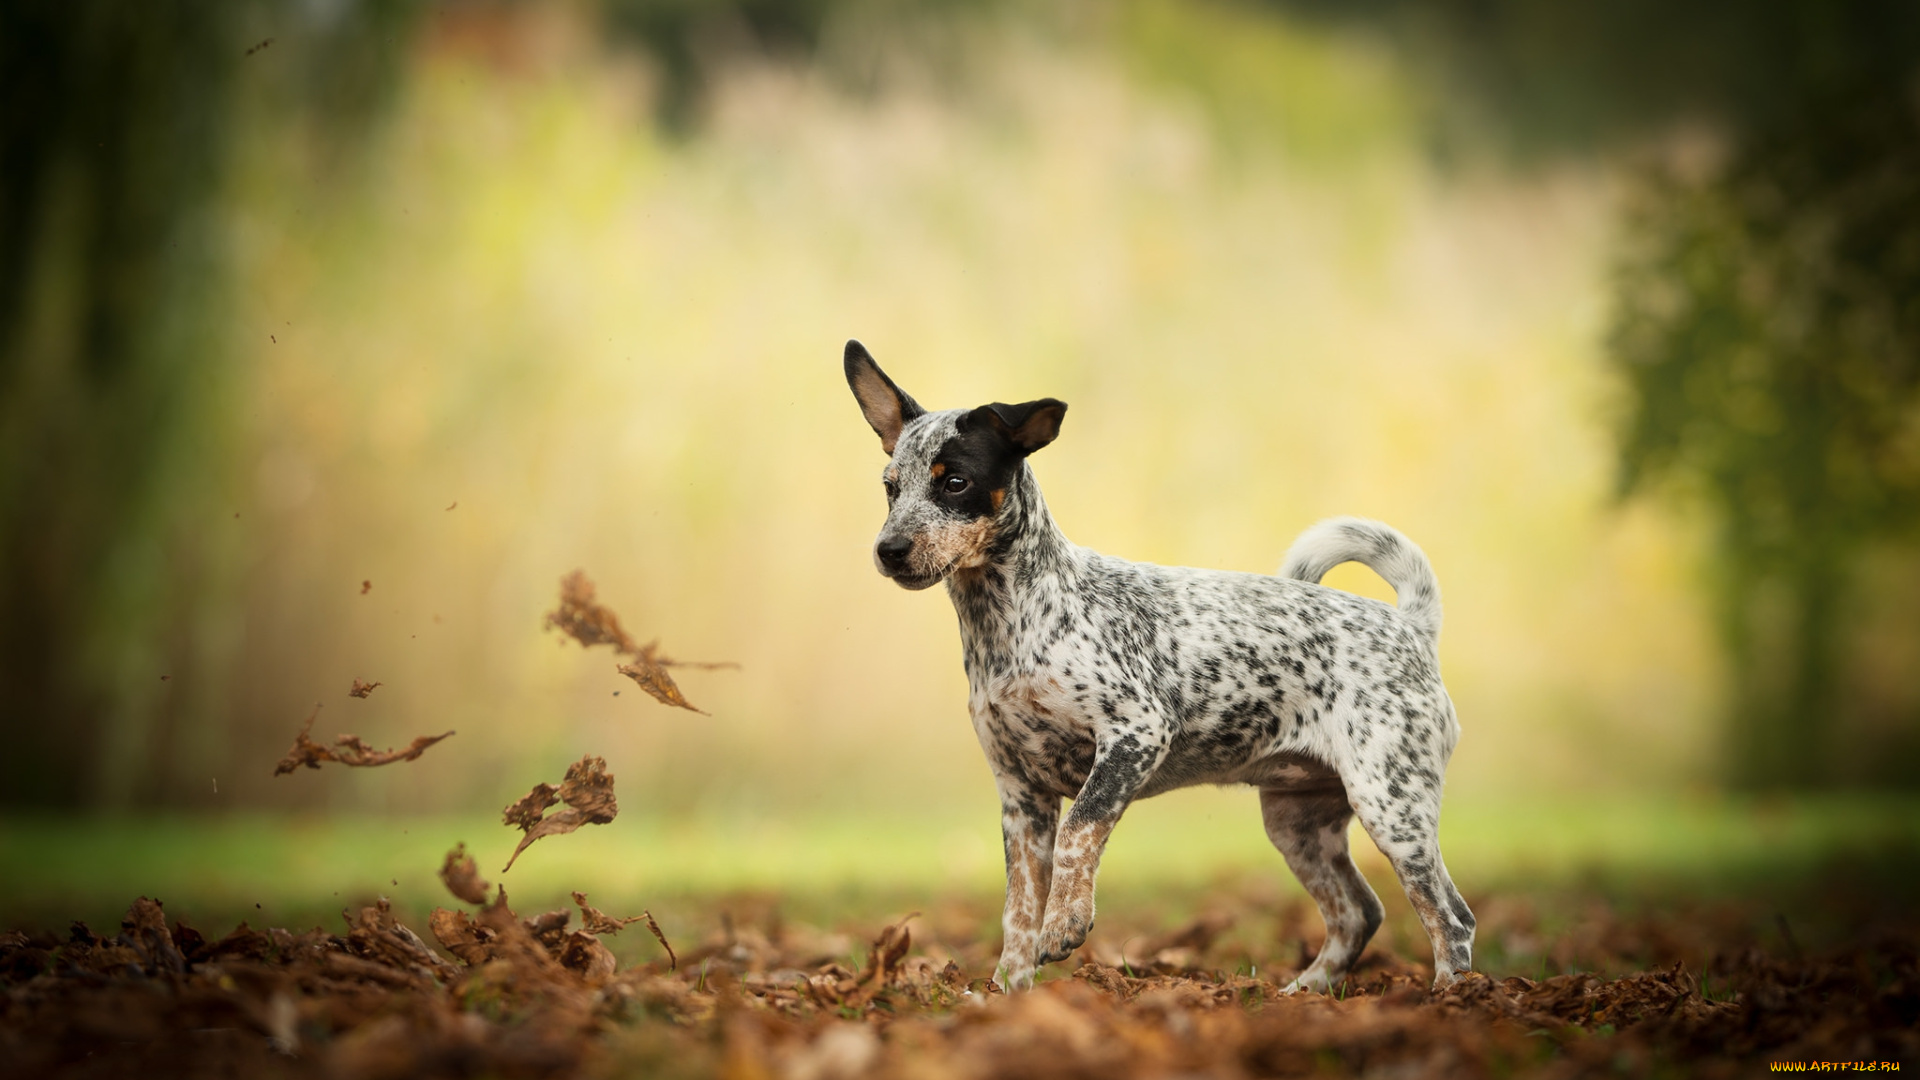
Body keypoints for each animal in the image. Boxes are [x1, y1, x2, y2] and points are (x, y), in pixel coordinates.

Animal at [840, 340, 1466, 991]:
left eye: (956, 483)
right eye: (890, 488)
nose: (888, 550)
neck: (1014, 622)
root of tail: (1412, 626)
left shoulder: (1135, 734)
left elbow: (1080, 830)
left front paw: (1065, 924)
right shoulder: (1020, 795)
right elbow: (1017, 908)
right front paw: (1008, 990)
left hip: (1392, 806)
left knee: (1451, 918)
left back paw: (1451, 996)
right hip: (1298, 824)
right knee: (1358, 910)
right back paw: (1305, 991)